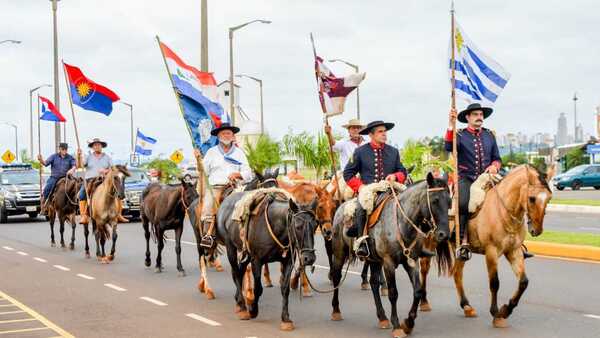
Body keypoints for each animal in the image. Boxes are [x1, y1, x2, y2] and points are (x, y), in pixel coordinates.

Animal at [216, 191, 318, 332]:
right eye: (298, 226)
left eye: (315, 226)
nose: (309, 258)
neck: (276, 225)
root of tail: (226, 201)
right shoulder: (257, 260)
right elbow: (258, 288)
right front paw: (253, 310)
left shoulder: (287, 262)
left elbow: (285, 289)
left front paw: (285, 319)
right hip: (231, 247)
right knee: (236, 272)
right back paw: (243, 307)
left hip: (246, 254)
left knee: (240, 271)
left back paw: (239, 302)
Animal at [328, 174, 450, 338]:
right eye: (435, 200)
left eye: (449, 201)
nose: (444, 234)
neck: (401, 223)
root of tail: (341, 206)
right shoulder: (389, 263)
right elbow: (393, 293)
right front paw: (397, 325)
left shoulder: (411, 261)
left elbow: (418, 291)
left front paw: (408, 323)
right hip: (339, 253)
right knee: (336, 277)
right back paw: (336, 310)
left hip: (374, 259)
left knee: (373, 282)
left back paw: (382, 317)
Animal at [420, 164, 556, 328]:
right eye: (532, 198)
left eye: (549, 198)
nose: (537, 230)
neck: (503, 210)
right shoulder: (491, 251)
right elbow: (494, 283)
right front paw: (496, 313)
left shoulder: (514, 251)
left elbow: (523, 282)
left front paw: (506, 310)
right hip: (430, 241)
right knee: (424, 268)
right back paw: (424, 302)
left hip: (458, 250)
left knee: (457, 274)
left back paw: (466, 306)